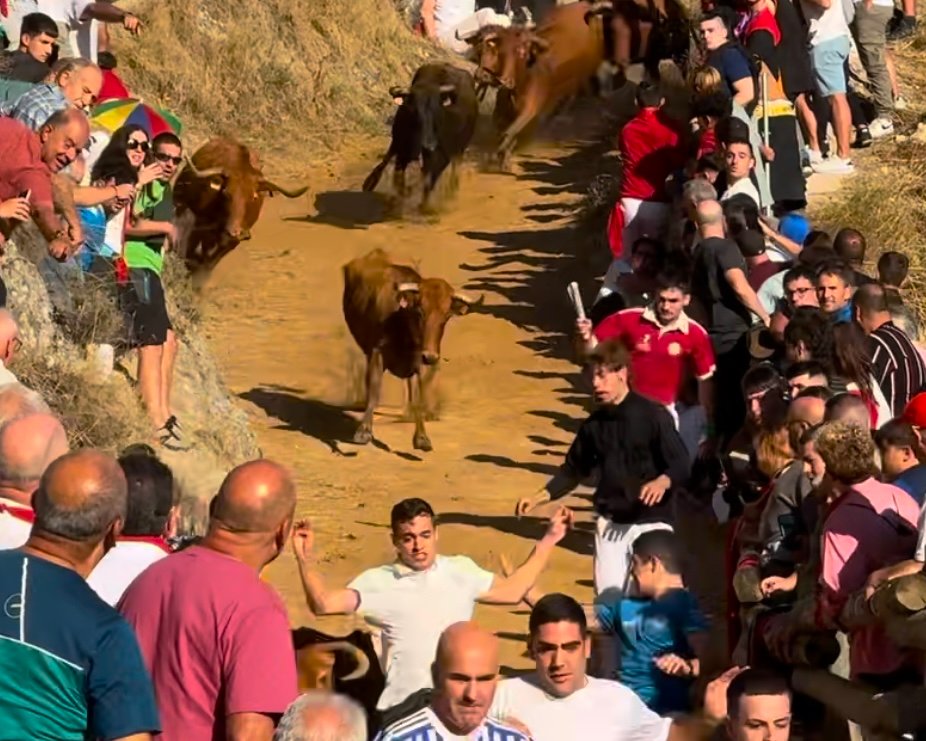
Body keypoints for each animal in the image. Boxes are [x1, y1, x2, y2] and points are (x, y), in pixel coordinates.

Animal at [176, 137, 314, 274]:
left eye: (253, 197)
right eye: (226, 193)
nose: (235, 232)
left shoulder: (230, 243)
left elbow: (208, 263)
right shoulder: (198, 228)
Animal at [342, 247, 486, 450]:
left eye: (446, 316)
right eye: (419, 310)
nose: (431, 357)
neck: (401, 322)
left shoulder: (421, 359)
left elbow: (419, 396)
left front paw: (421, 437)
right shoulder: (376, 353)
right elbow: (374, 390)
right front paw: (363, 432)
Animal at [362, 62, 478, 211]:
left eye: (437, 110)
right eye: (414, 110)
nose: (429, 145)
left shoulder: (442, 155)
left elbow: (428, 178)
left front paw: (423, 204)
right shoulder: (402, 148)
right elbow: (399, 176)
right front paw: (398, 198)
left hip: (458, 151)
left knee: (448, 169)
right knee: (389, 159)